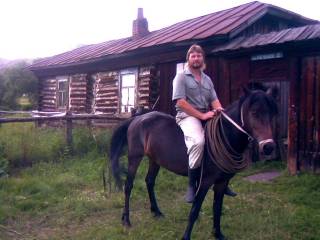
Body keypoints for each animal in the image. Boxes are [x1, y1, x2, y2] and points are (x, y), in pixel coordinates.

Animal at [109, 87, 278, 239]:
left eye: (272, 113)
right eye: (254, 112)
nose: (268, 147)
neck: (225, 135)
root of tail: (137, 119)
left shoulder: (222, 182)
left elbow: (217, 208)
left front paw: (218, 234)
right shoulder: (204, 182)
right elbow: (195, 210)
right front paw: (186, 237)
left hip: (154, 160)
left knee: (149, 181)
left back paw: (156, 212)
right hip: (135, 158)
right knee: (128, 186)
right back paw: (127, 220)